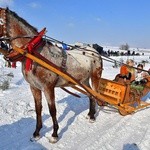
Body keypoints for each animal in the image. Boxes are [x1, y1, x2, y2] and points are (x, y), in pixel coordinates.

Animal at [0, 7, 102, 143]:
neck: (33, 53)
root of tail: (94, 51)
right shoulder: (34, 87)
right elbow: (38, 109)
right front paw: (36, 133)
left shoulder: (48, 87)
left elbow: (52, 110)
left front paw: (54, 134)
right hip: (83, 80)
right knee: (90, 95)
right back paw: (90, 114)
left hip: (95, 76)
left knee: (95, 94)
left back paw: (92, 117)